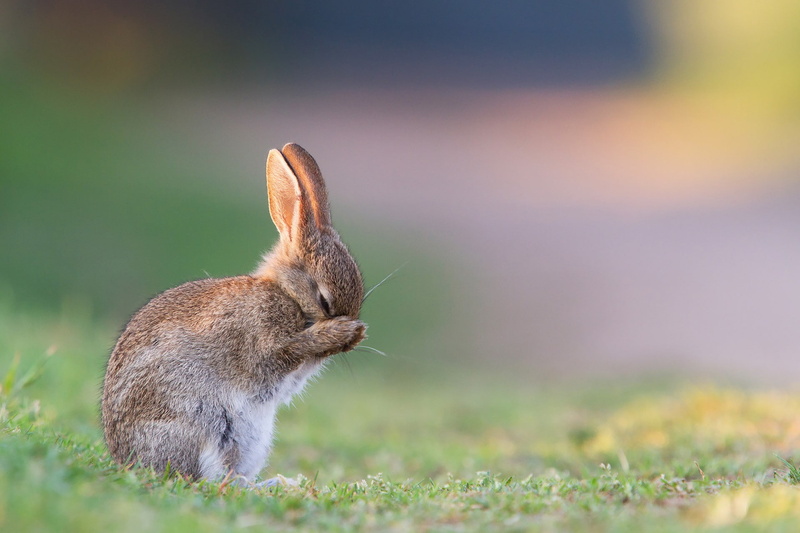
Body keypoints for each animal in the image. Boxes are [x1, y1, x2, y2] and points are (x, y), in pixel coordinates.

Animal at [101, 143, 366, 485]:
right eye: (324, 300)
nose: (352, 338)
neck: (287, 293)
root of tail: (128, 461)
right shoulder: (263, 342)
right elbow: (285, 352)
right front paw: (340, 332)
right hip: (204, 423)